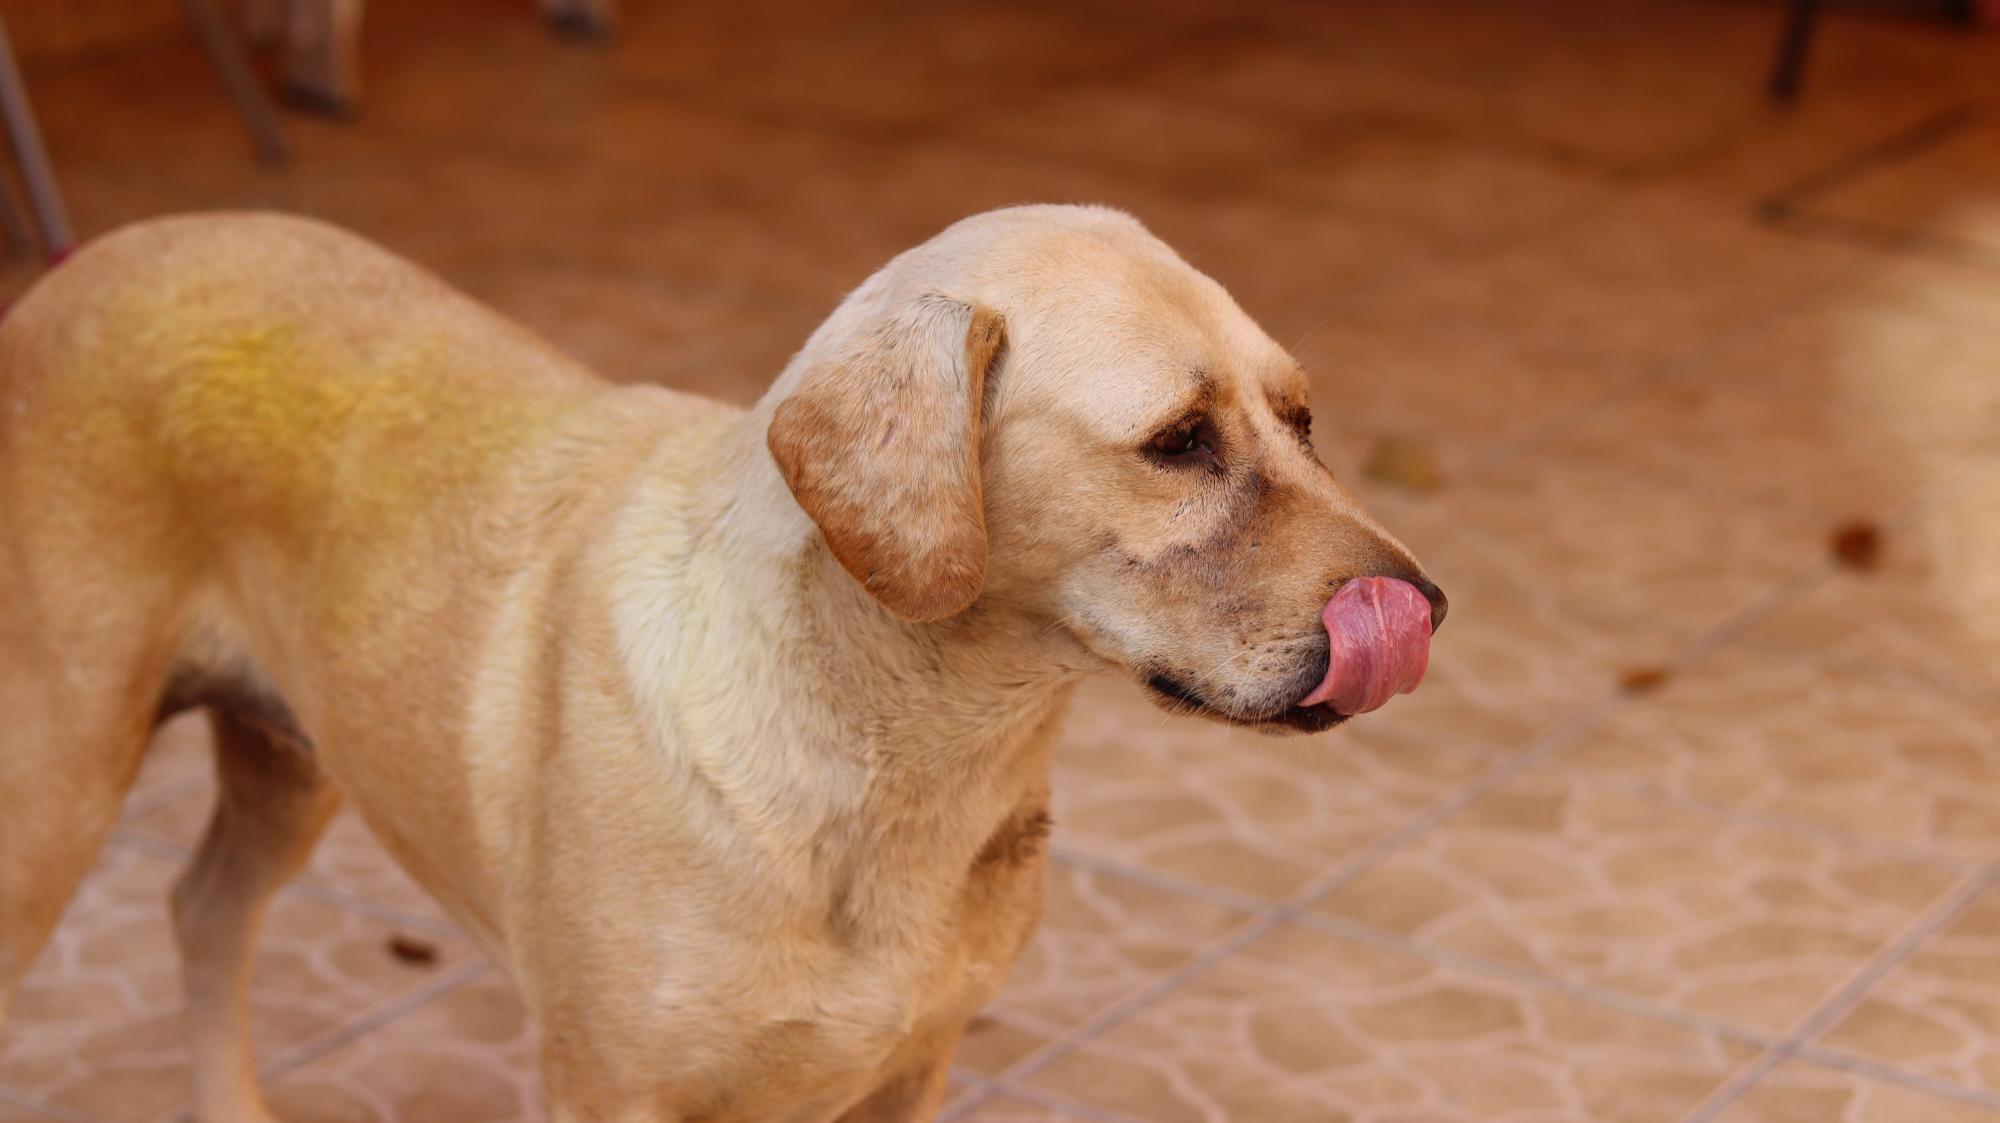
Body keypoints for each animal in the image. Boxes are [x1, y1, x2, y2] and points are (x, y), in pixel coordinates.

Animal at [0, 205, 1448, 1111]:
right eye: (1177, 441)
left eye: (1302, 417)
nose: (1428, 605)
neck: (902, 755)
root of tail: (73, 267)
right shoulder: (610, 1086)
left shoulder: (907, 1072)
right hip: (54, 794)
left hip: (293, 756)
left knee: (202, 906)